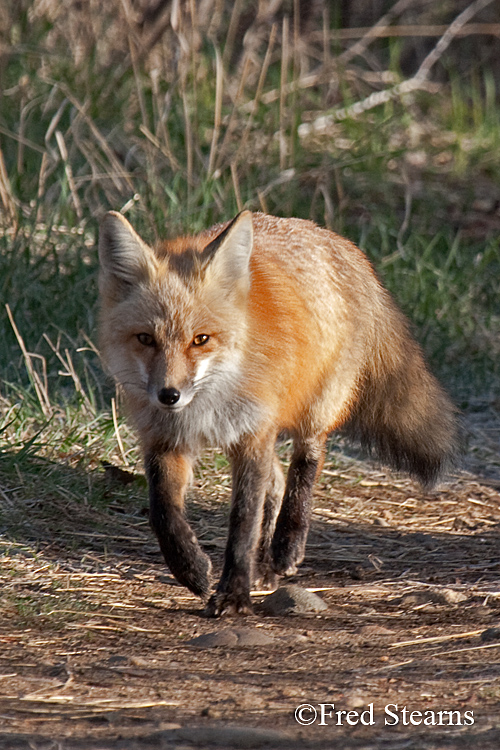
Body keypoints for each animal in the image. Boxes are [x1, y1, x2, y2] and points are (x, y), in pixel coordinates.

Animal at [98, 212, 460, 616]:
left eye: (201, 339)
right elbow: (163, 511)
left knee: (306, 461)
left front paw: (234, 593)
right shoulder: (164, 439)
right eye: (145, 339)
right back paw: (266, 566)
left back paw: (287, 545)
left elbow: (243, 521)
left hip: (315, 408)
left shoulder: (252, 434)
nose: (169, 395)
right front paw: (191, 569)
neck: (207, 403)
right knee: (276, 481)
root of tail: (334, 239)